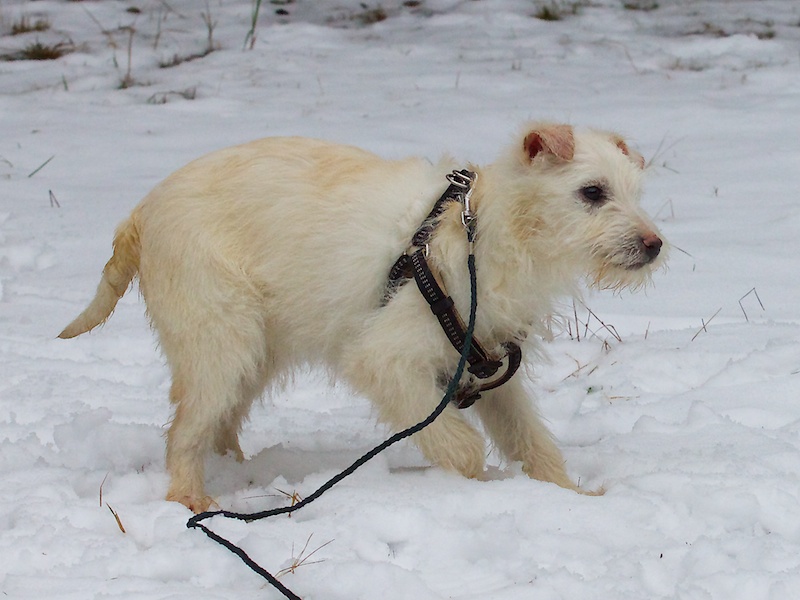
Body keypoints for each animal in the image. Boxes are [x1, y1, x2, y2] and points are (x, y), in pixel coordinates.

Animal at [59, 123, 665, 513]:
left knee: (220, 425)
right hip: (220, 344)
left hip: (252, 353)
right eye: (592, 192)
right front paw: (480, 482)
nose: (655, 245)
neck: (483, 232)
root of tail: (141, 212)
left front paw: (569, 495)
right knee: (186, 432)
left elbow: (532, 442)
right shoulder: (385, 362)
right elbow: (460, 445)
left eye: (634, 192)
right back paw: (193, 499)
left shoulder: (491, 367)